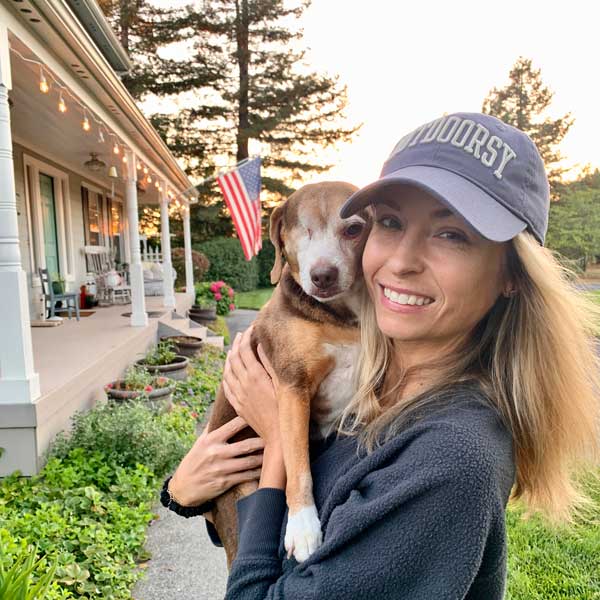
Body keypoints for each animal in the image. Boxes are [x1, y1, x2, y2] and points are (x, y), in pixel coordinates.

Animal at [206, 180, 368, 564]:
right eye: (301, 230)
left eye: (353, 229)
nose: (322, 275)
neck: (339, 317)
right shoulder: (294, 387)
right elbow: (297, 467)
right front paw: (303, 527)